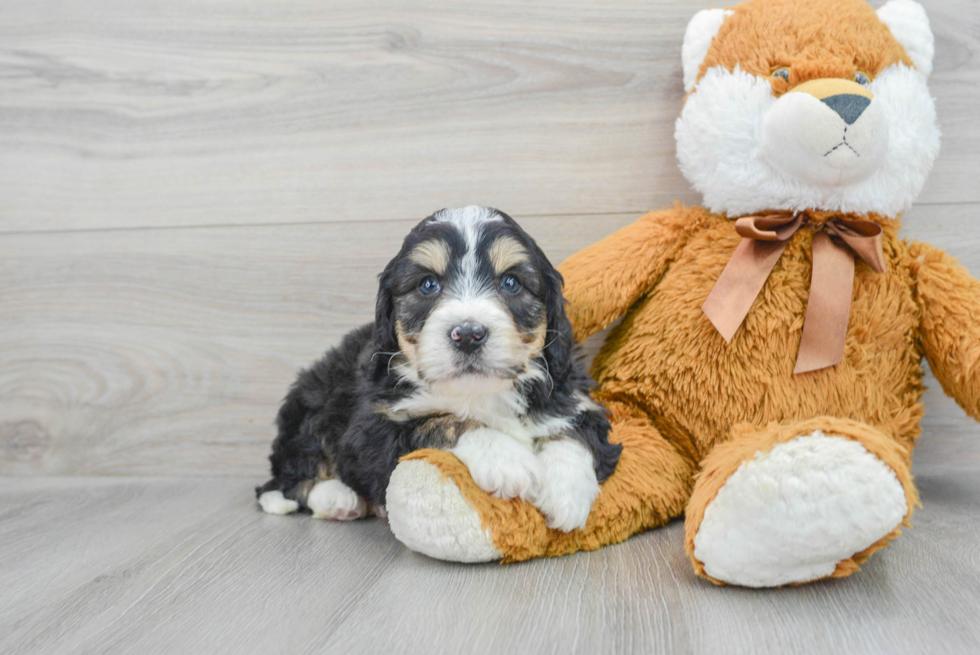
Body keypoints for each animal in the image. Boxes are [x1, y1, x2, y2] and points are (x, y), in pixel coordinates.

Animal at [255, 205, 620, 532]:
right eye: (428, 285)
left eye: (512, 283)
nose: (469, 334)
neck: (479, 392)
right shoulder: (371, 427)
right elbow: (439, 420)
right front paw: (507, 459)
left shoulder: (572, 394)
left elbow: (575, 431)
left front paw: (566, 492)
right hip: (311, 404)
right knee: (288, 475)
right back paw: (337, 498)